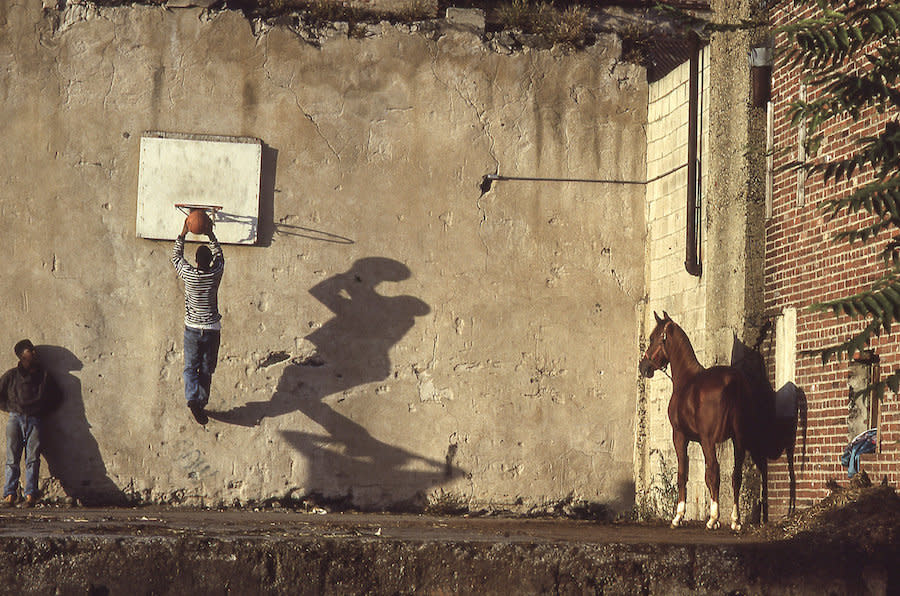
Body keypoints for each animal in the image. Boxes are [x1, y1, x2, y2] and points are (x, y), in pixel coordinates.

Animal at [636, 312, 764, 532]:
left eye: (653, 338)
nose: (643, 367)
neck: (686, 380)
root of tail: (734, 382)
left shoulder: (680, 436)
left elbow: (683, 474)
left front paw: (678, 516)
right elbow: (706, 477)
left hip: (709, 440)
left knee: (715, 471)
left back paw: (713, 519)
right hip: (738, 439)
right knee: (735, 475)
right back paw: (735, 520)